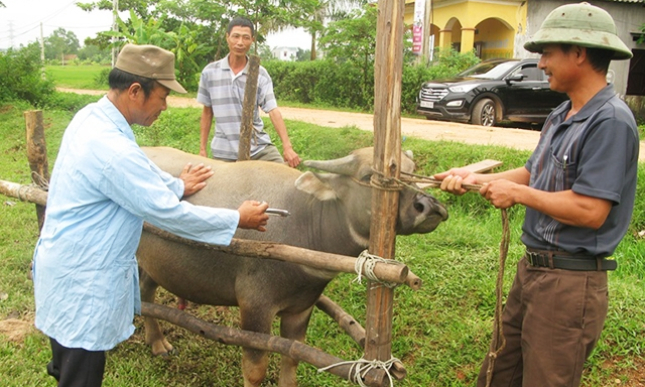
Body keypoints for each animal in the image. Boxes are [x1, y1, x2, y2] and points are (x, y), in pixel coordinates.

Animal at [138, 147, 446, 386]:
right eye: (368, 177)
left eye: (413, 171)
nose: (428, 206)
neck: (304, 219)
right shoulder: (255, 308)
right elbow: (255, 371)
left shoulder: (301, 308)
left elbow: (291, 359)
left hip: (153, 264)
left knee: (145, 294)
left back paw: (157, 342)